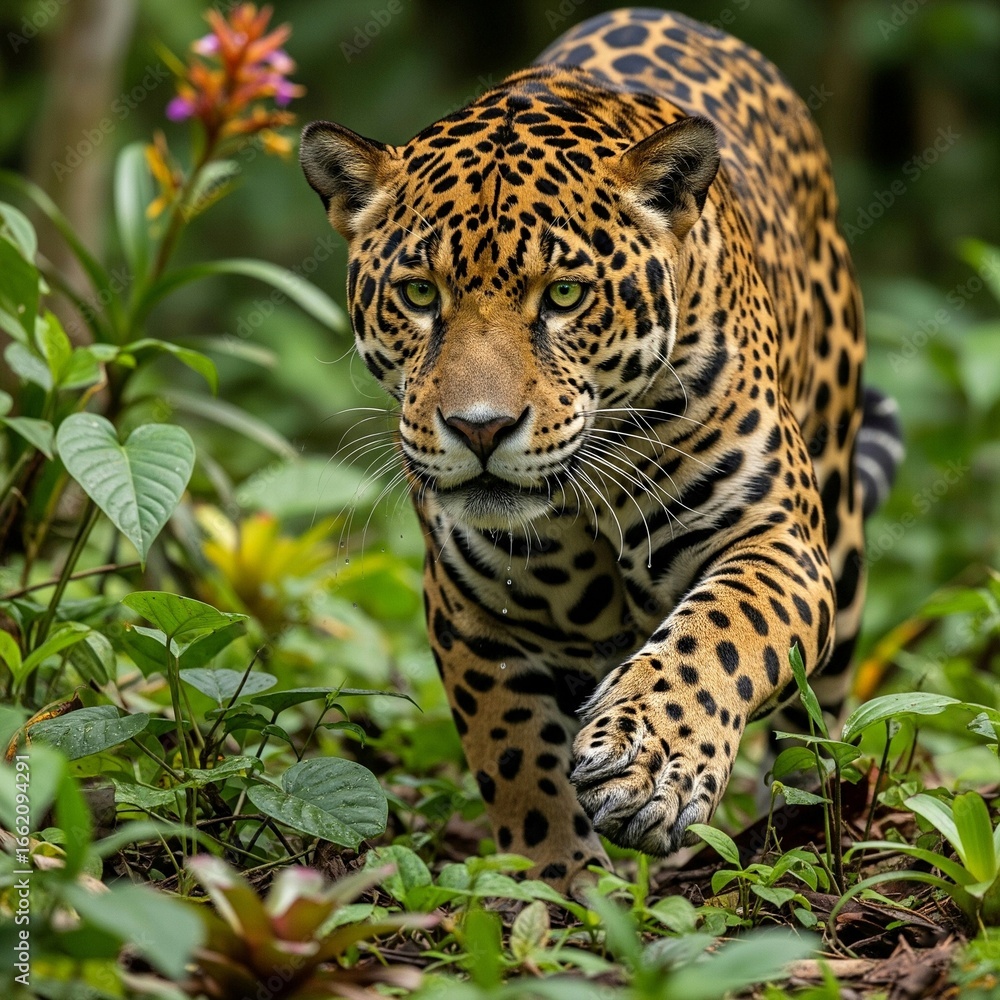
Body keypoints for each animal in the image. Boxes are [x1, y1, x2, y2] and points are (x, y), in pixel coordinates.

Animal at [300, 7, 902, 891]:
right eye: (417, 295)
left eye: (563, 295)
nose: (479, 428)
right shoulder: (473, 611)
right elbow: (514, 757)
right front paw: (565, 885)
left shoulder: (775, 538)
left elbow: (720, 633)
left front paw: (651, 767)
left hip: (843, 528)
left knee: (817, 716)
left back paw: (804, 822)